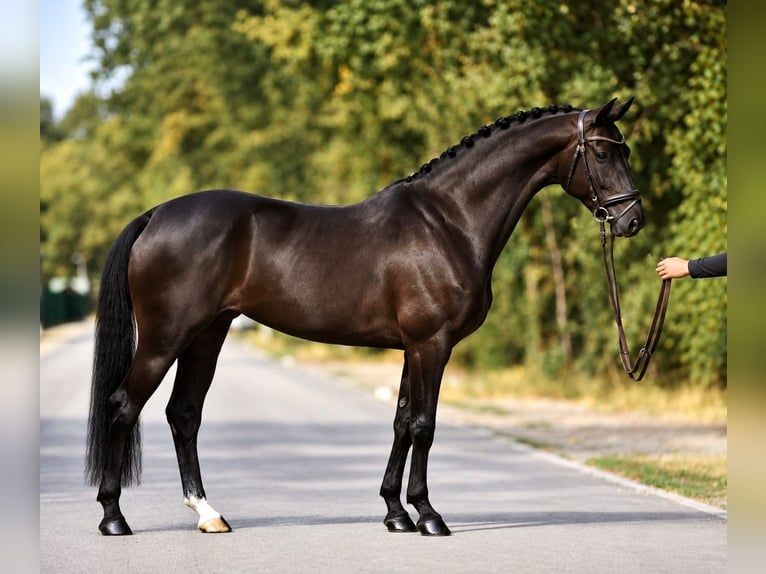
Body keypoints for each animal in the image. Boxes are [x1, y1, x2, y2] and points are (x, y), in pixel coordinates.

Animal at [86, 97, 643, 537]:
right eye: (602, 152)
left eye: (625, 150)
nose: (632, 220)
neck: (449, 221)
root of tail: (155, 215)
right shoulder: (432, 344)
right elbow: (424, 425)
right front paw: (428, 515)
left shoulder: (412, 348)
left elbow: (400, 422)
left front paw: (396, 513)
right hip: (165, 339)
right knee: (123, 405)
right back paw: (113, 517)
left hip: (207, 335)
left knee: (184, 414)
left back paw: (208, 514)